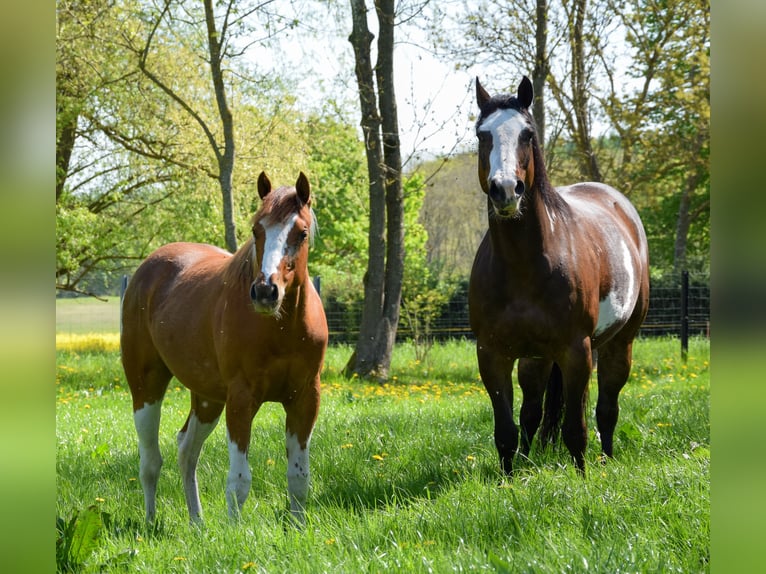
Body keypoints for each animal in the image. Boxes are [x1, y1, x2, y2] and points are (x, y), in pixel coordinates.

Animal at [121, 171, 328, 524]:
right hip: (146, 389)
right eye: (257, 229)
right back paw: (150, 522)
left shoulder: (304, 400)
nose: (265, 291)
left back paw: (197, 522)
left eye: (301, 232)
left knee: (186, 451)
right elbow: (239, 481)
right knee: (150, 462)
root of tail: (146, 271)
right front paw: (235, 531)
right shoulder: (242, 400)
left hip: (207, 400)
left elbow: (299, 478)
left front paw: (299, 528)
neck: (281, 329)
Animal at [469, 76, 650, 476]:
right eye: (481, 134)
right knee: (533, 412)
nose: (506, 190)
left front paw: (581, 479)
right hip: (538, 358)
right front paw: (508, 480)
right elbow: (507, 429)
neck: (524, 265)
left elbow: (575, 428)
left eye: (527, 133)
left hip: (617, 344)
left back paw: (606, 460)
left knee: (605, 408)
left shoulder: (574, 349)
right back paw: (527, 462)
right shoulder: (492, 354)